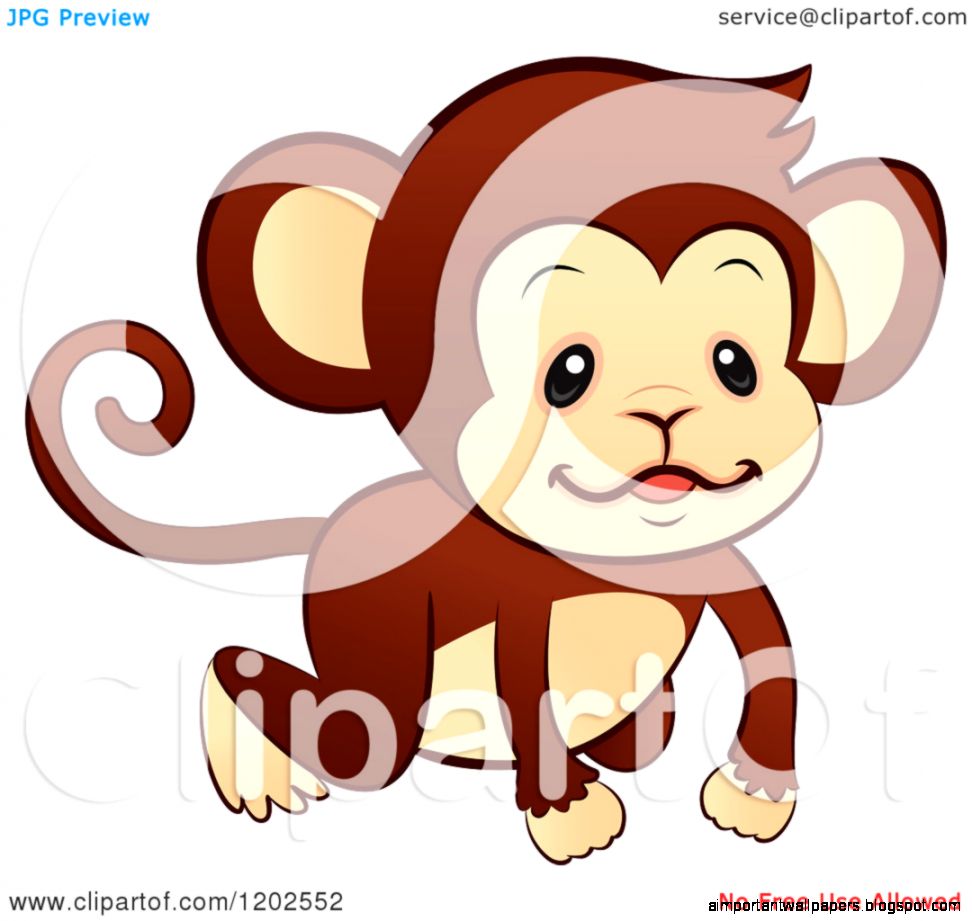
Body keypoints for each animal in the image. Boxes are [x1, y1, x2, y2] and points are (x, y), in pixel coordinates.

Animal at [25, 58, 946, 864]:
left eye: (736, 364)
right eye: (566, 370)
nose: (663, 409)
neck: (617, 569)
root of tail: (335, 525)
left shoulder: (717, 563)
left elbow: (772, 650)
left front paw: (755, 792)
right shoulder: (519, 605)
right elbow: (526, 690)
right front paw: (566, 812)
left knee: (639, 730)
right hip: (379, 663)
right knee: (321, 713)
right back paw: (261, 760)